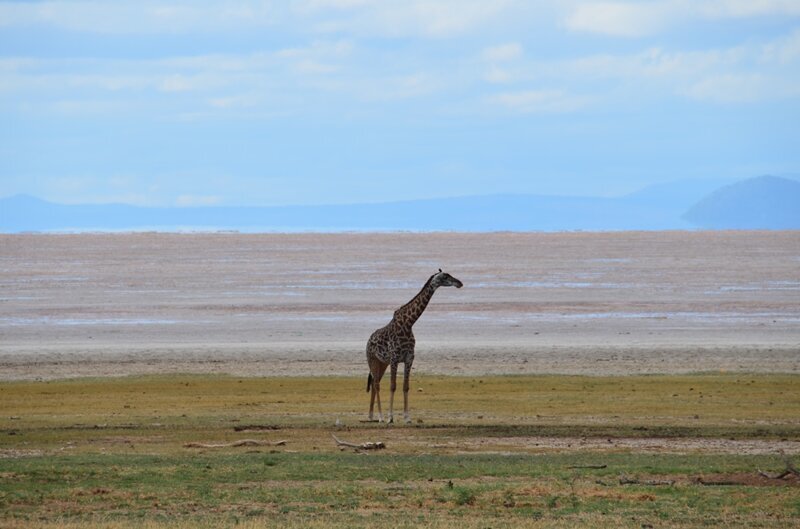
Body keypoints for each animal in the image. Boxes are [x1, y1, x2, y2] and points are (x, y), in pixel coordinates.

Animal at [364, 270, 462, 422]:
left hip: (382, 363)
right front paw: (390, 417)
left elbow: (406, 386)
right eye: (445, 276)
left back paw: (371, 416)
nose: (459, 283)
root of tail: (369, 340)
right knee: (376, 385)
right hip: (372, 360)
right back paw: (380, 417)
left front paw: (407, 417)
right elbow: (393, 386)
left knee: (375, 383)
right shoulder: (394, 358)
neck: (409, 323)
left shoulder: (409, 357)